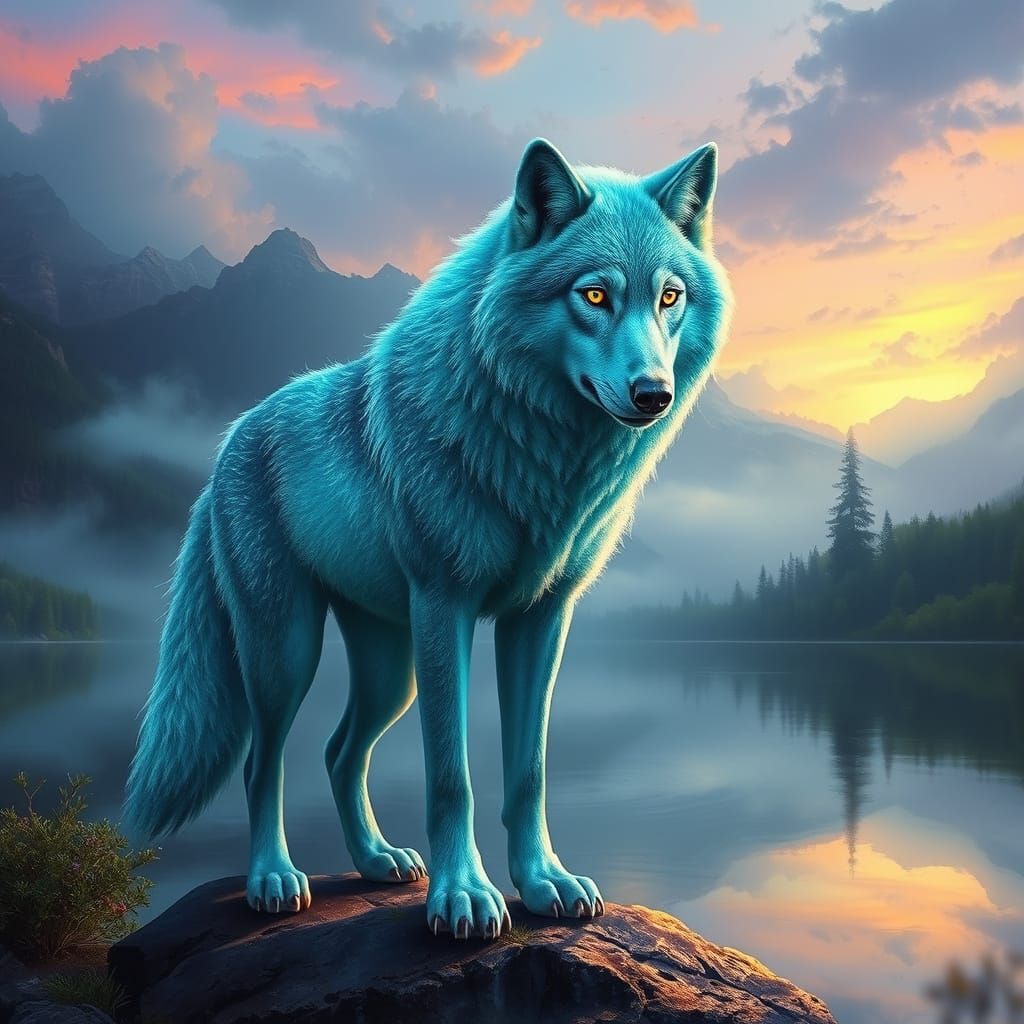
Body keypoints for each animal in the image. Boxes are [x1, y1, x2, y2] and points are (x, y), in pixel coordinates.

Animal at [124, 138, 732, 940]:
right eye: (595, 296)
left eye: (669, 298)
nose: (652, 394)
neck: (544, 455)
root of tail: (230, 438)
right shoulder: (446, 606)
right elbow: (452, 776)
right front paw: (463, 896)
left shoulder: (541, 617)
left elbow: (529, 771)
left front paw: (543, 883)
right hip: (289, 651)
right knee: (264, 762)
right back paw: (273, 879)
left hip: (391, 669)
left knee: (338, 752)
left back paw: (378, 861)